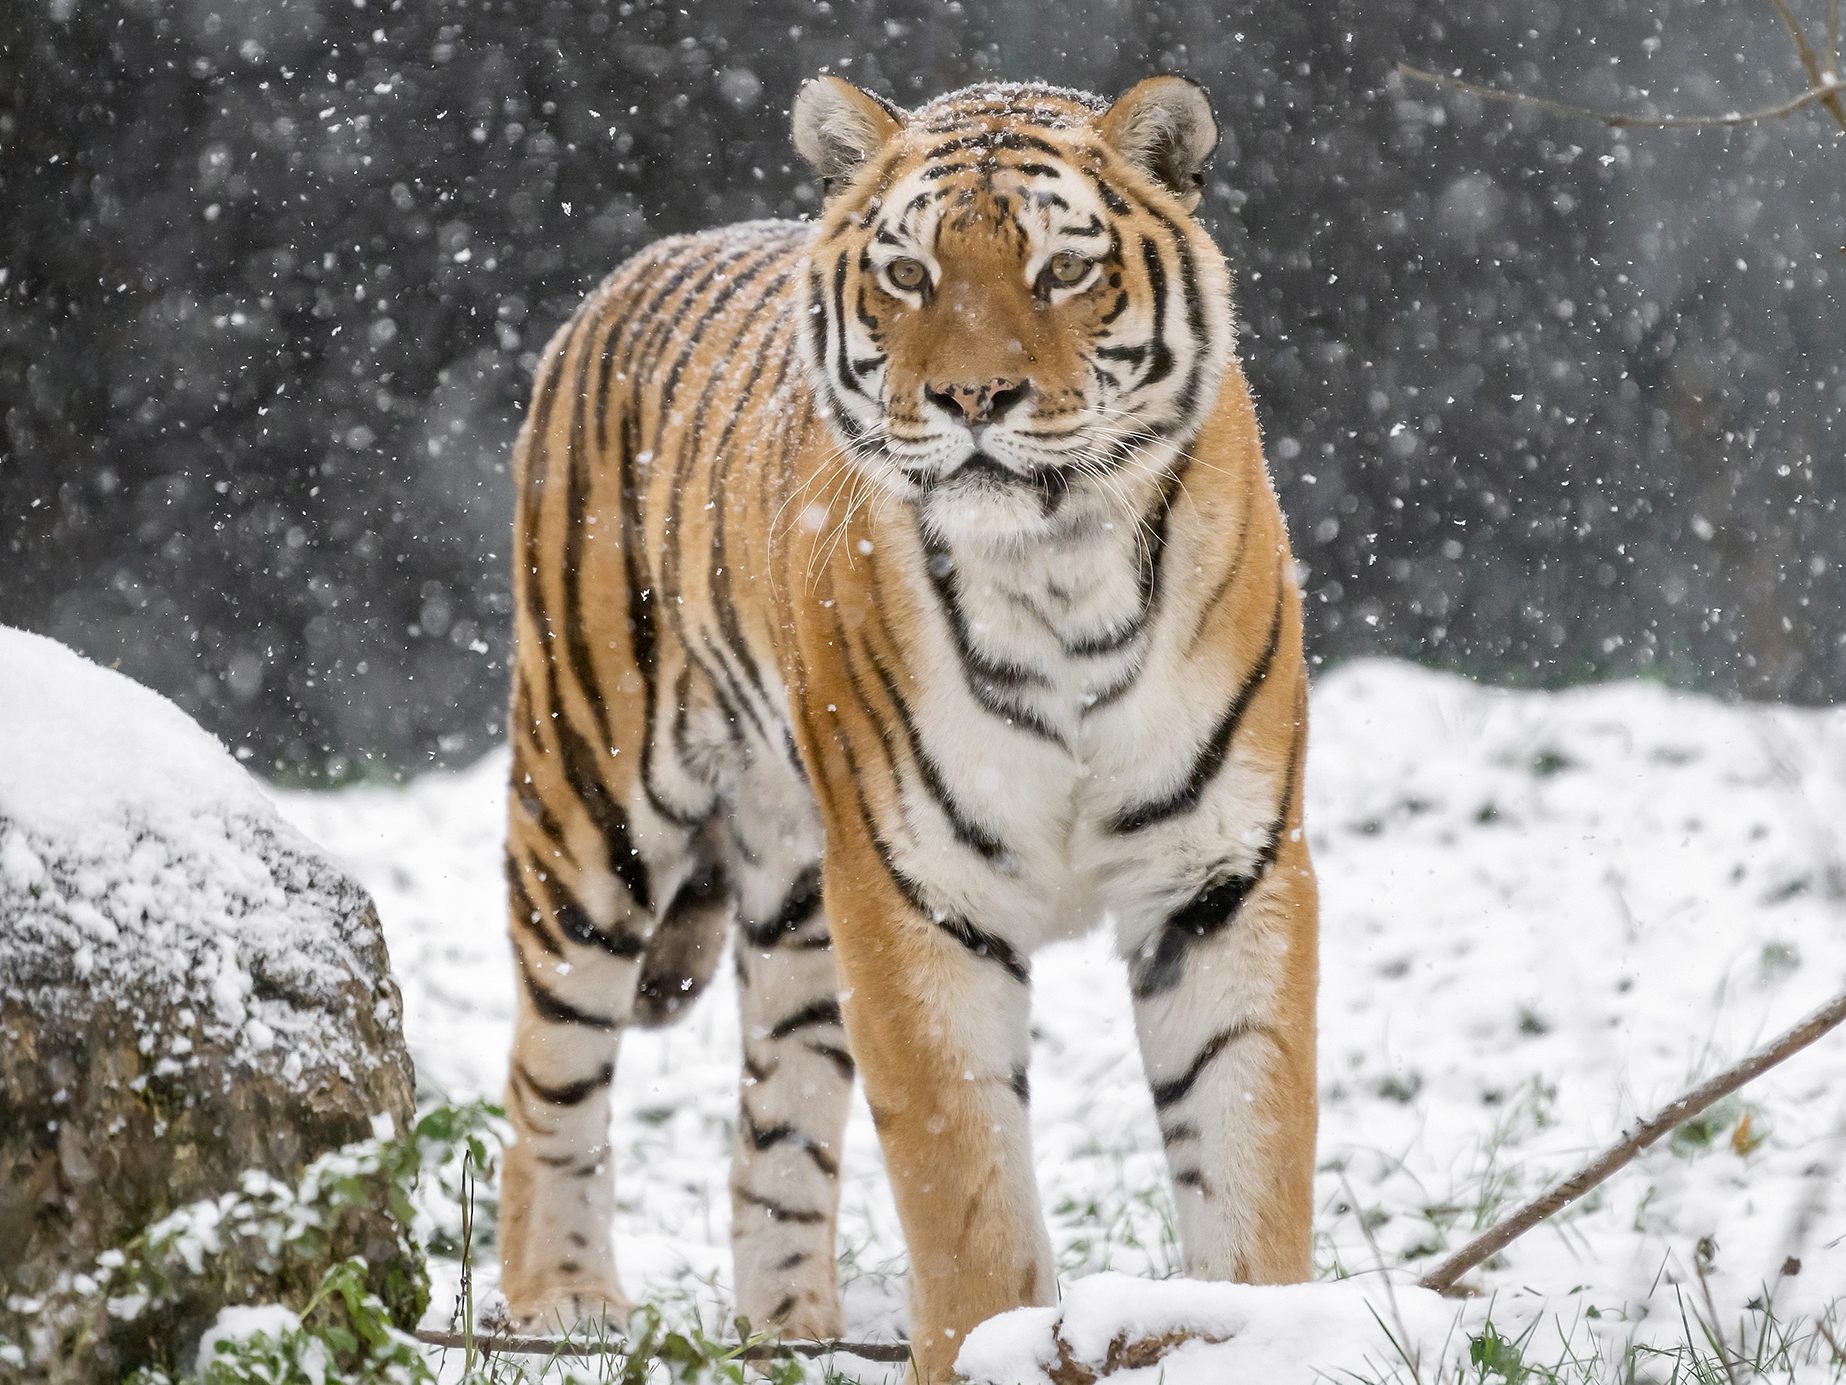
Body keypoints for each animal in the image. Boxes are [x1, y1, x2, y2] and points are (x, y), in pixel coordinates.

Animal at [497, 73, 1319, 1383]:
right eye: (907, 272)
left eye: (1061, 269)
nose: (973, 398)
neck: (1059, 570)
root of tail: (629, 272)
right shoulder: (916, 890)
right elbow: (962, 1177)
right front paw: (988, 1343)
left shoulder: (1225, 871)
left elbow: (1248, 1137)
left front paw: (1258, 1333)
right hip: (590, 802)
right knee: (548, 1070)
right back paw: (562, 1304)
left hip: (796, 889)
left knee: (774, 1123)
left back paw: (790, 1331)